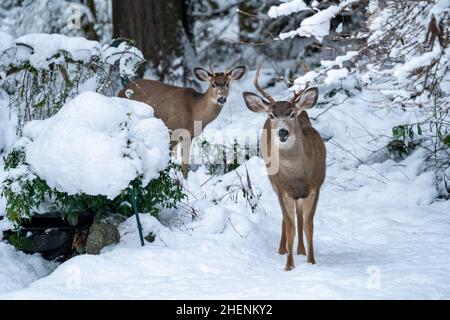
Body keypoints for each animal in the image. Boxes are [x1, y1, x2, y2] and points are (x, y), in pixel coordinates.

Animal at [118, 64, 246, 178]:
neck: (195, 111)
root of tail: (121, 91)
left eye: (228, 84)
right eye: (213, 84)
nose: (221, 98)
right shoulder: (172, 130)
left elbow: (184, 162)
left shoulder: (188, 135)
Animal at [243, 65, 326, 270]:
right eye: (272, 114)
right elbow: (290, 227)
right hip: (274, 183)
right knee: (288, 219)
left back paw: (301, 250)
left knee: (299, 216)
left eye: (291, 113)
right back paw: (283, 250)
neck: (298, 176)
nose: (282, 132)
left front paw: (311, 261)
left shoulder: (316, 186)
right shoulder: (283, 189)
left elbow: (308, 226)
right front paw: (289, 266)